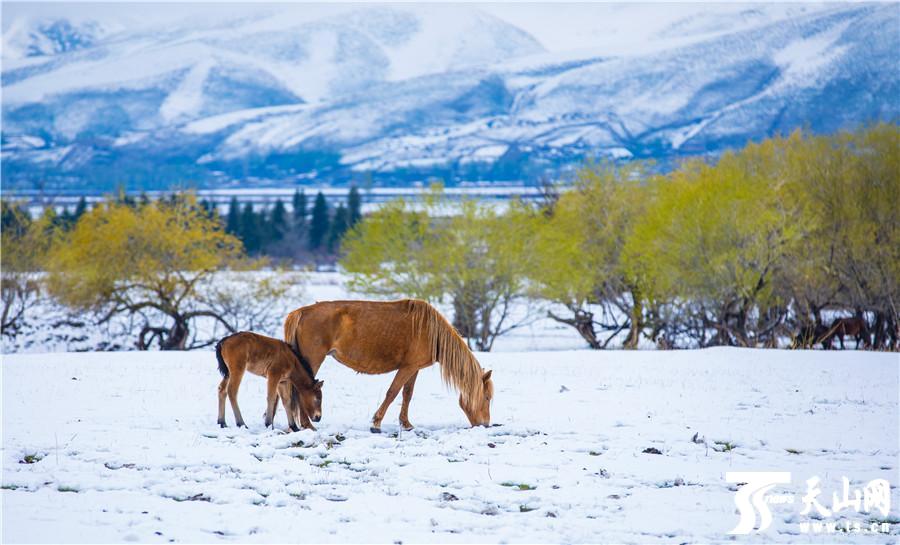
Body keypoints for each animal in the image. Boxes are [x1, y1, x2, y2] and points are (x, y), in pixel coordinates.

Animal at [284, 300, 496, 432]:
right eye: (486, 397)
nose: (485, 424)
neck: (430, 331)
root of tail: (301, 312)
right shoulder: (406, 368)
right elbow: (392, 392)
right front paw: (376, 423)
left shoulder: (414, 368)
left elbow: (407, 394)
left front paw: (406, 424)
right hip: (312, 360)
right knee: (301, 390)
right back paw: (308, 425)